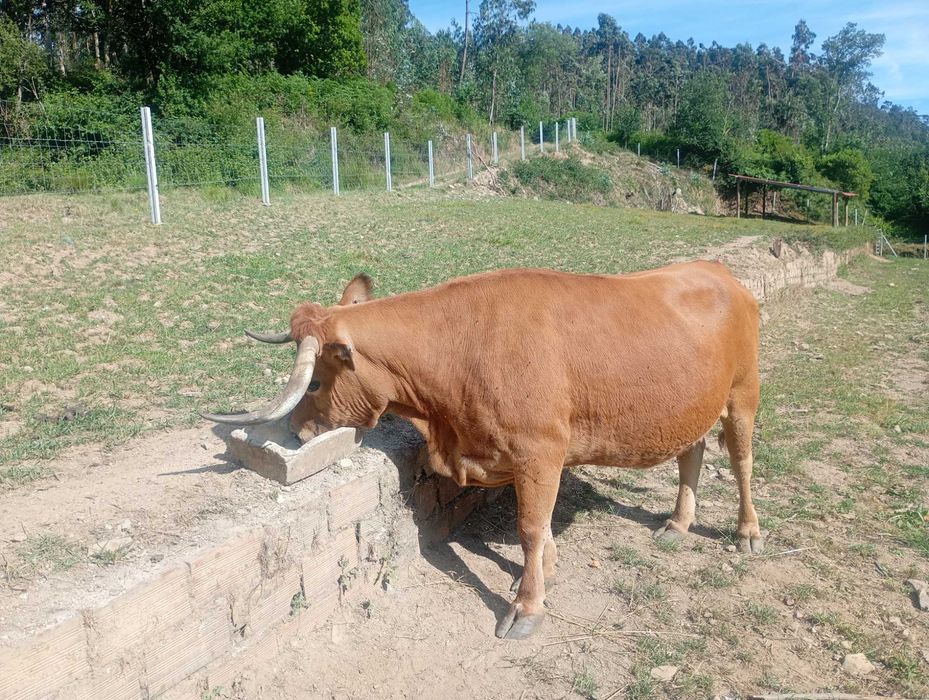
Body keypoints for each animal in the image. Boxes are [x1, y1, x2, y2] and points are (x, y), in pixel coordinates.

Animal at [203, 261, 762, 640]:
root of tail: (716, 269)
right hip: (692, 404)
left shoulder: (540, 452)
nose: (297, 430)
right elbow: (539, 525)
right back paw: (679, 523)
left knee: (740, 460)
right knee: (692, 453)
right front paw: (546, 570)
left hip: (743, 394)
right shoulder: (519, 457)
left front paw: (528, 606)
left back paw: (747, 532)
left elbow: (530, 527)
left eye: (316, 382)